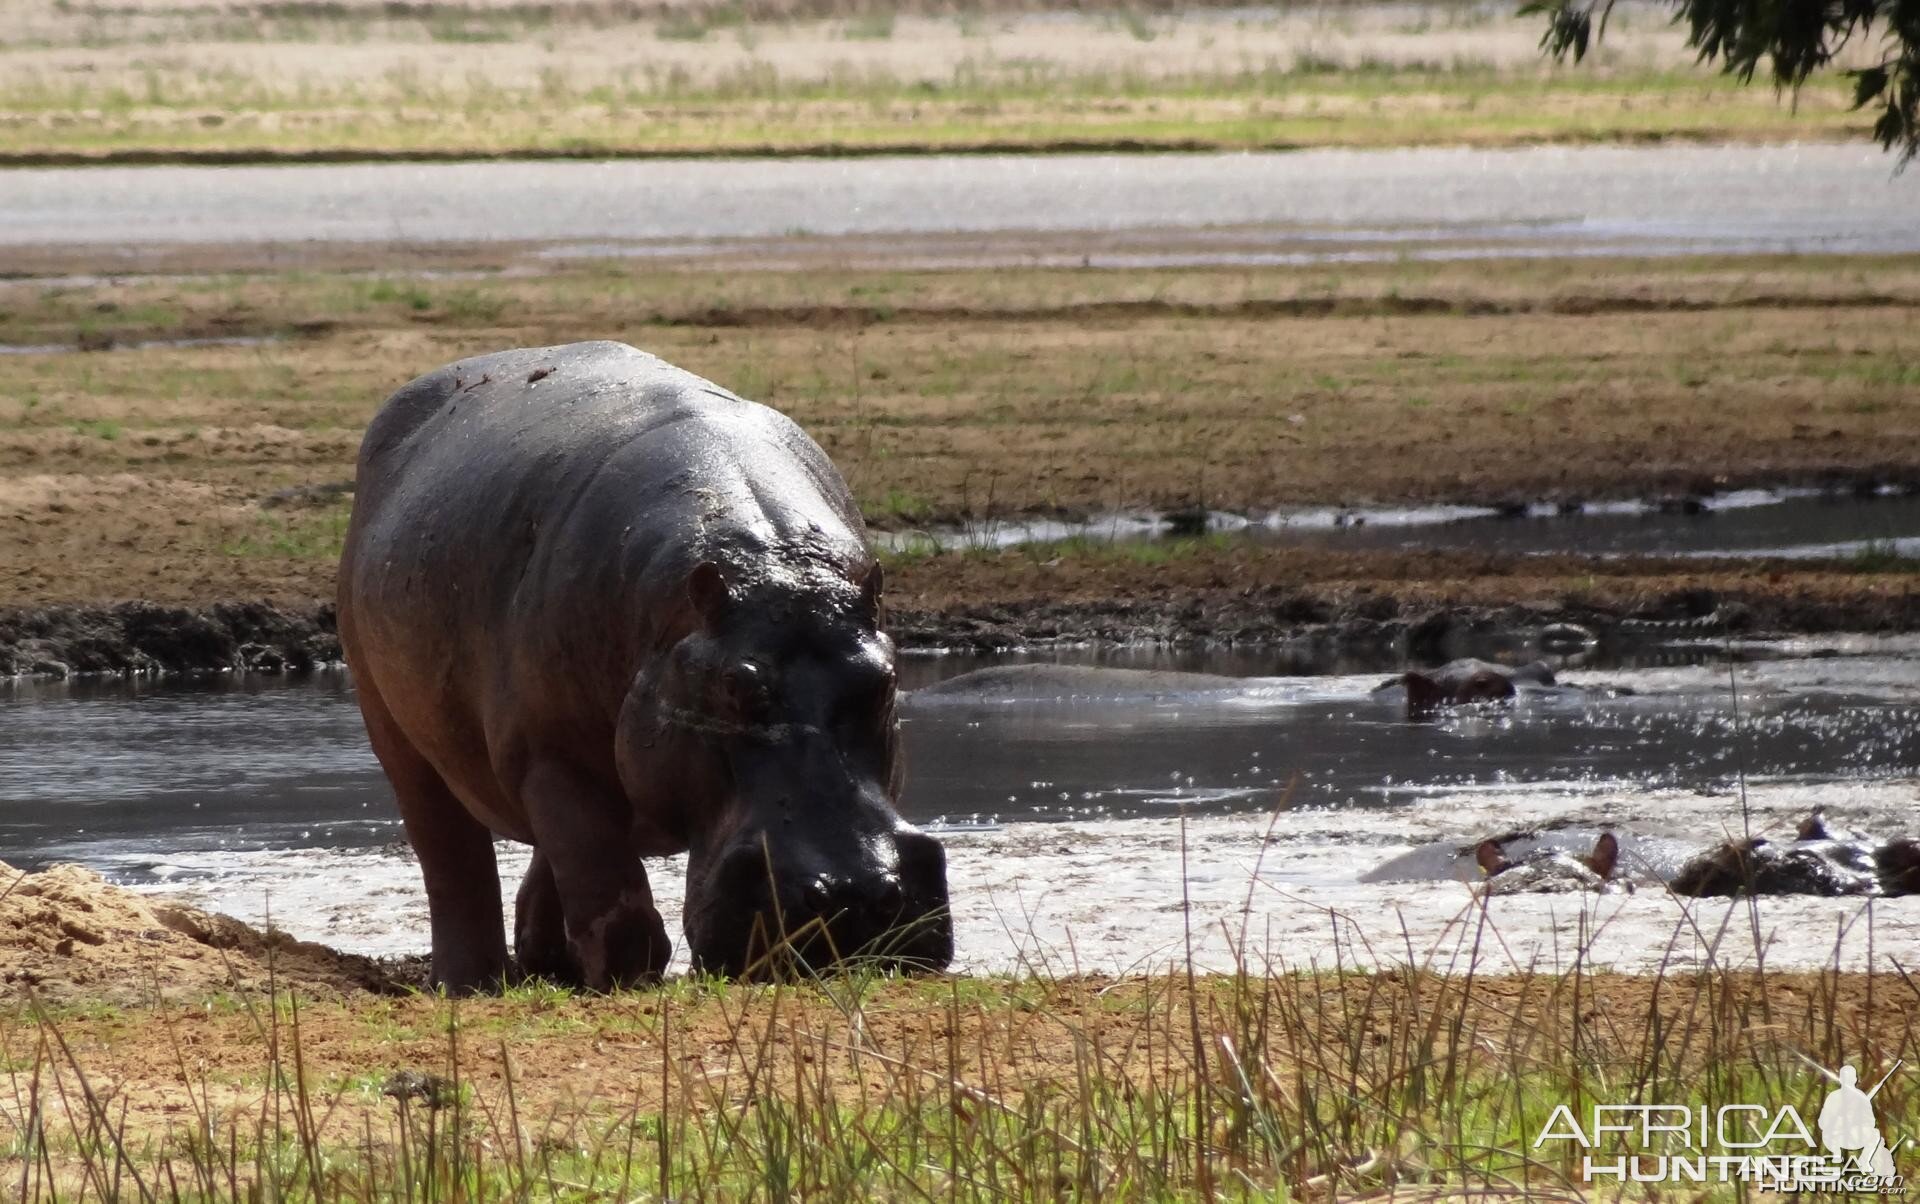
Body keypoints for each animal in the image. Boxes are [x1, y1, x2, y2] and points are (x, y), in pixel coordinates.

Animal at [341, 343, 956, 990]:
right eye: (732, 687)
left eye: (885, 682)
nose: (849, 894)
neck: (774, 568)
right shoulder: (550, 757)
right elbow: (610, 894)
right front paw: (626, 976)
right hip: (397, 732)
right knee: (453, 860)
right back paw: (469, 982)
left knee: (541, 863)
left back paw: (544, 962)